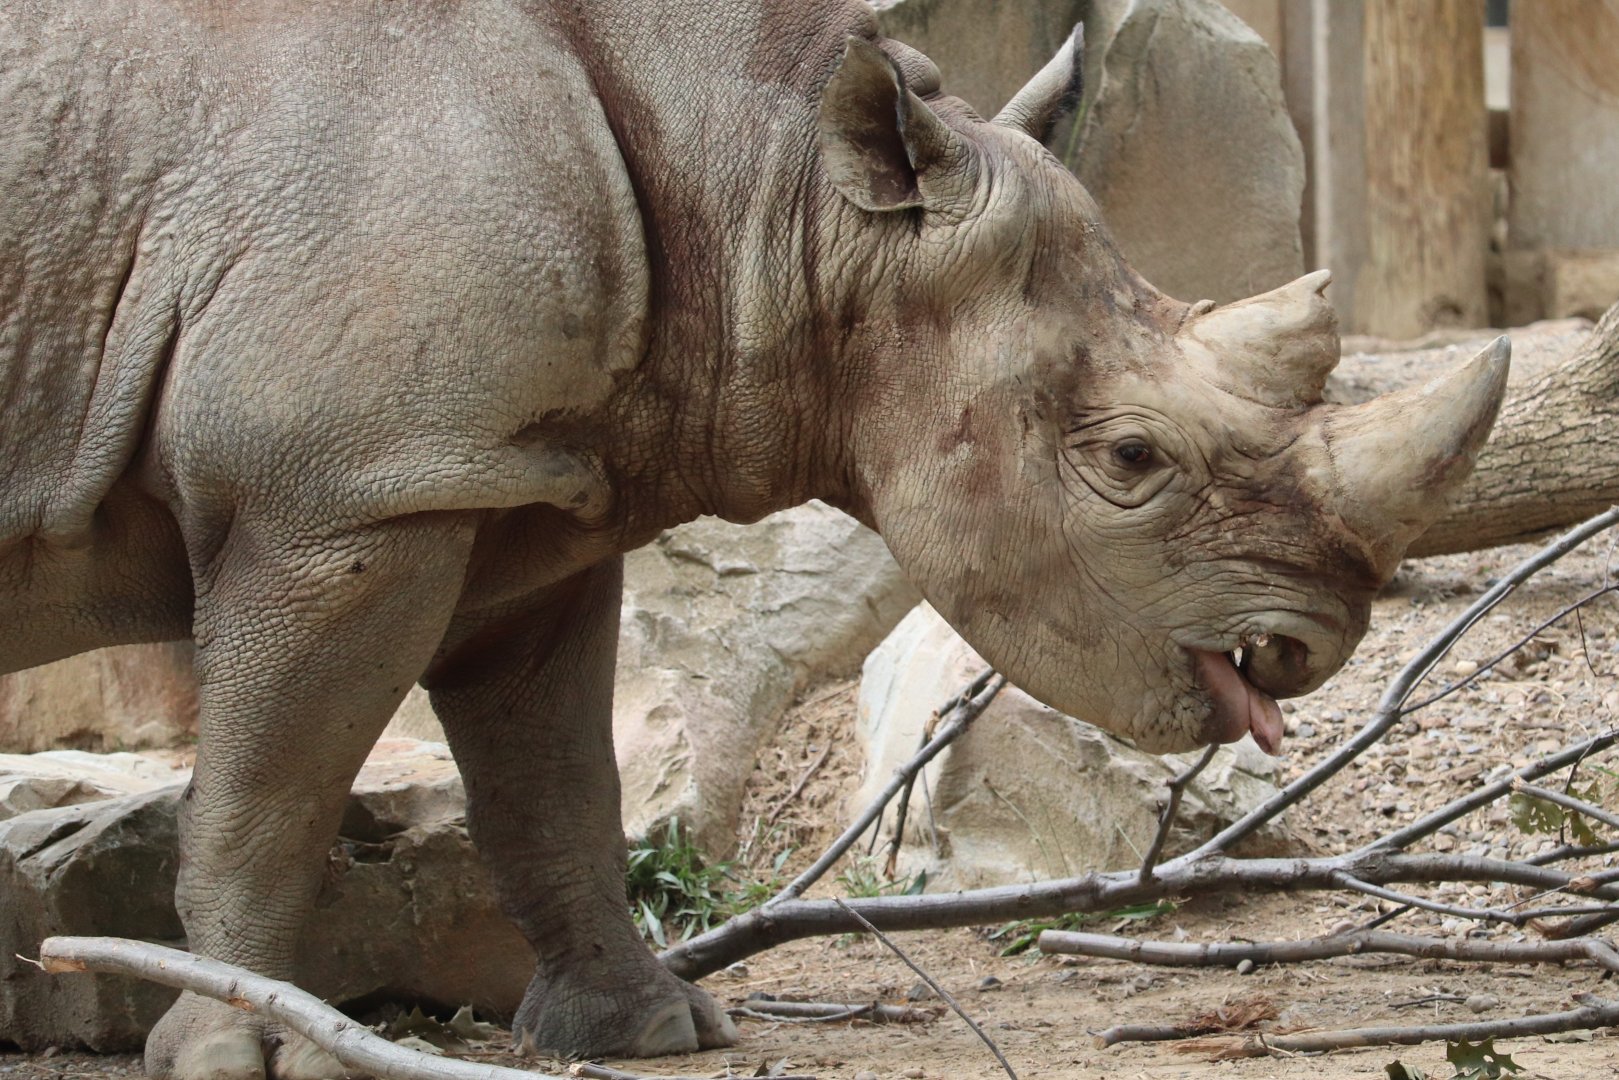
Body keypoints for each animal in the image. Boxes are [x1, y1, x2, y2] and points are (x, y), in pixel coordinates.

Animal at [1, 0, 1506, 1074]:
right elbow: (272, 790)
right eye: (1130, 460)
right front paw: (243, 1051)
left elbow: (556, 778)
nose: (1315, 640)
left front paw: (649, 1030)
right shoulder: (348, 490)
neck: (773, 190)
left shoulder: (509, 483)